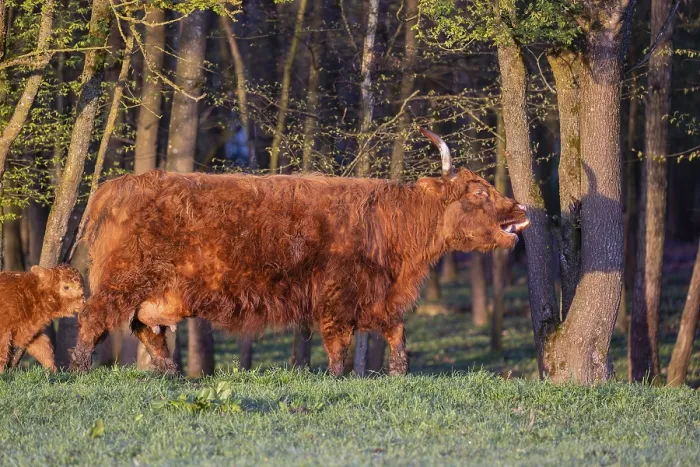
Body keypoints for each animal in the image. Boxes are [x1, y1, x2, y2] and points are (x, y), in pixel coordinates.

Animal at [70, 128, 529, 376]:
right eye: (478, 192)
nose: (521, 208)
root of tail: (116, 186)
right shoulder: (336, 299)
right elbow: (338, 349)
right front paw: (339, 379)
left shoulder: (379, 301)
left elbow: (398, 338)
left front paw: (399, 375)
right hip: (121, 282)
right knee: (92, 321)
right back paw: (76, 373)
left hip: (152, 296)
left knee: (148, 333)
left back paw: (175, 377)